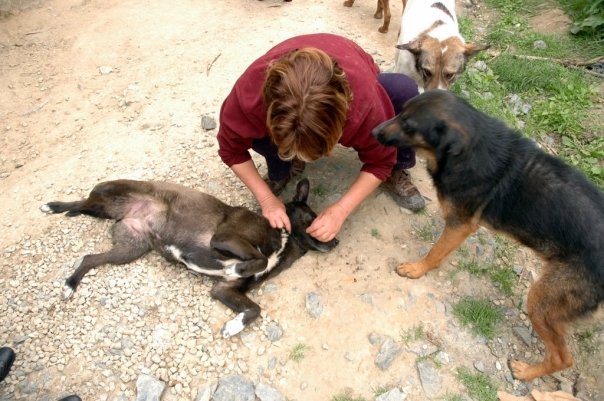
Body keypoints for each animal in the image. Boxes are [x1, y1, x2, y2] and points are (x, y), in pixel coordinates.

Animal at [40, 178, 338, 338]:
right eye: (313, 219)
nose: (336, 241)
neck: (285, 238)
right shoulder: (225, 238)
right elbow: (259, 260)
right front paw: (240, 268)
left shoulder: (223, 290)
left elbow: (255, 309)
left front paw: (233, 326)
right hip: (107, 198)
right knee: (81, 203)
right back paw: (53, 206)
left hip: (128, 250)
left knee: (89, 257)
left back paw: (70, 285)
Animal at [372, 89, 604, 380]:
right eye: (400, 112)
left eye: (408, 126)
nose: (373, 131)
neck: (470, 149)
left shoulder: (461, 224)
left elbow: (436, 251)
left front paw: (417, 268)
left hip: (542, 300)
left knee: (563, 358)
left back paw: (526, 372)